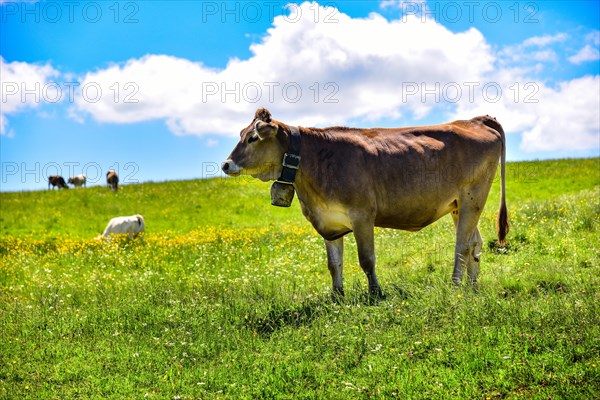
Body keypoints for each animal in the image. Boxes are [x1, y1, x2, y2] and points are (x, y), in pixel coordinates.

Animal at [223, 108, 508, 296]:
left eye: (253, 138)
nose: (226, 164)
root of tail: (475, 120)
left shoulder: (362, 216)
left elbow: (366, 259)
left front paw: (375, 293)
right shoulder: (328, 221)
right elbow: (333, 264)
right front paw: (337, 297)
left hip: (473, 197)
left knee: (462, 246)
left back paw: (455, 285)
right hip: (459, 205)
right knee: (475, 243)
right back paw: (472, 287)